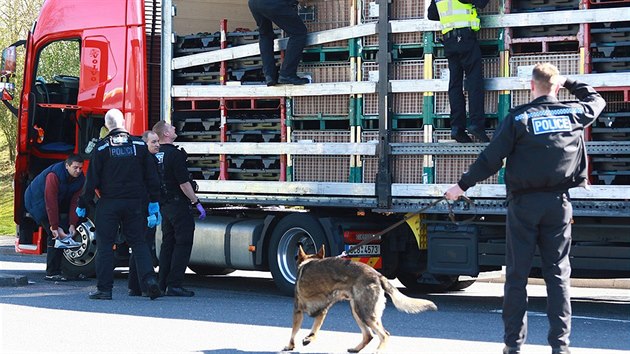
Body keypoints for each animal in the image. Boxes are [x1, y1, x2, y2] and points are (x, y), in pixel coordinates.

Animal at [284, 245, 436, 352]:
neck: (309, 261)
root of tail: (378, 275)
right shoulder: (322, 311)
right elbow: (314, 329)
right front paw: (309, 339)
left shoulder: (297, 310)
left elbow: (293, 331)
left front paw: (290, 346)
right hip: (357, 310)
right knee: (370, 335)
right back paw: (356, 349)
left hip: (363, 312)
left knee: (384, 335)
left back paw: (378, 351)